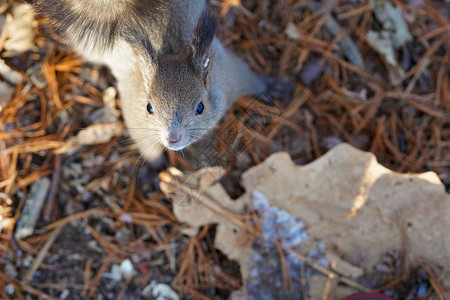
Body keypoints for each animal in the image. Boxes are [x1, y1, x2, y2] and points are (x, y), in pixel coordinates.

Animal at [33, 0, 278, 162]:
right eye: (149, 108)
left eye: (200, 107)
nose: (172, 138)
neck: (171, 51)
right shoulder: (136, 118)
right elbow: (147, 148)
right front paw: (155, 166)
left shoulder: (231, 77)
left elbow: (252, 80)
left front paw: (272, 89)